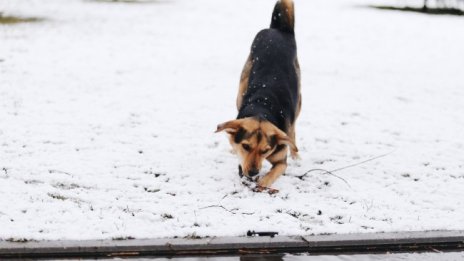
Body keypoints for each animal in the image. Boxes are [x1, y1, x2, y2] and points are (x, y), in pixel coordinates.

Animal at [215, 0, 300, 190]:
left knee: (293, 130)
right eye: (246, 146)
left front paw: (262, 183)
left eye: (265, 150)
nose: (253, 172)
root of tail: (278, 30)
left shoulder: (281, 161)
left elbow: (271, 175)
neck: (263, 109)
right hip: (241, 87)